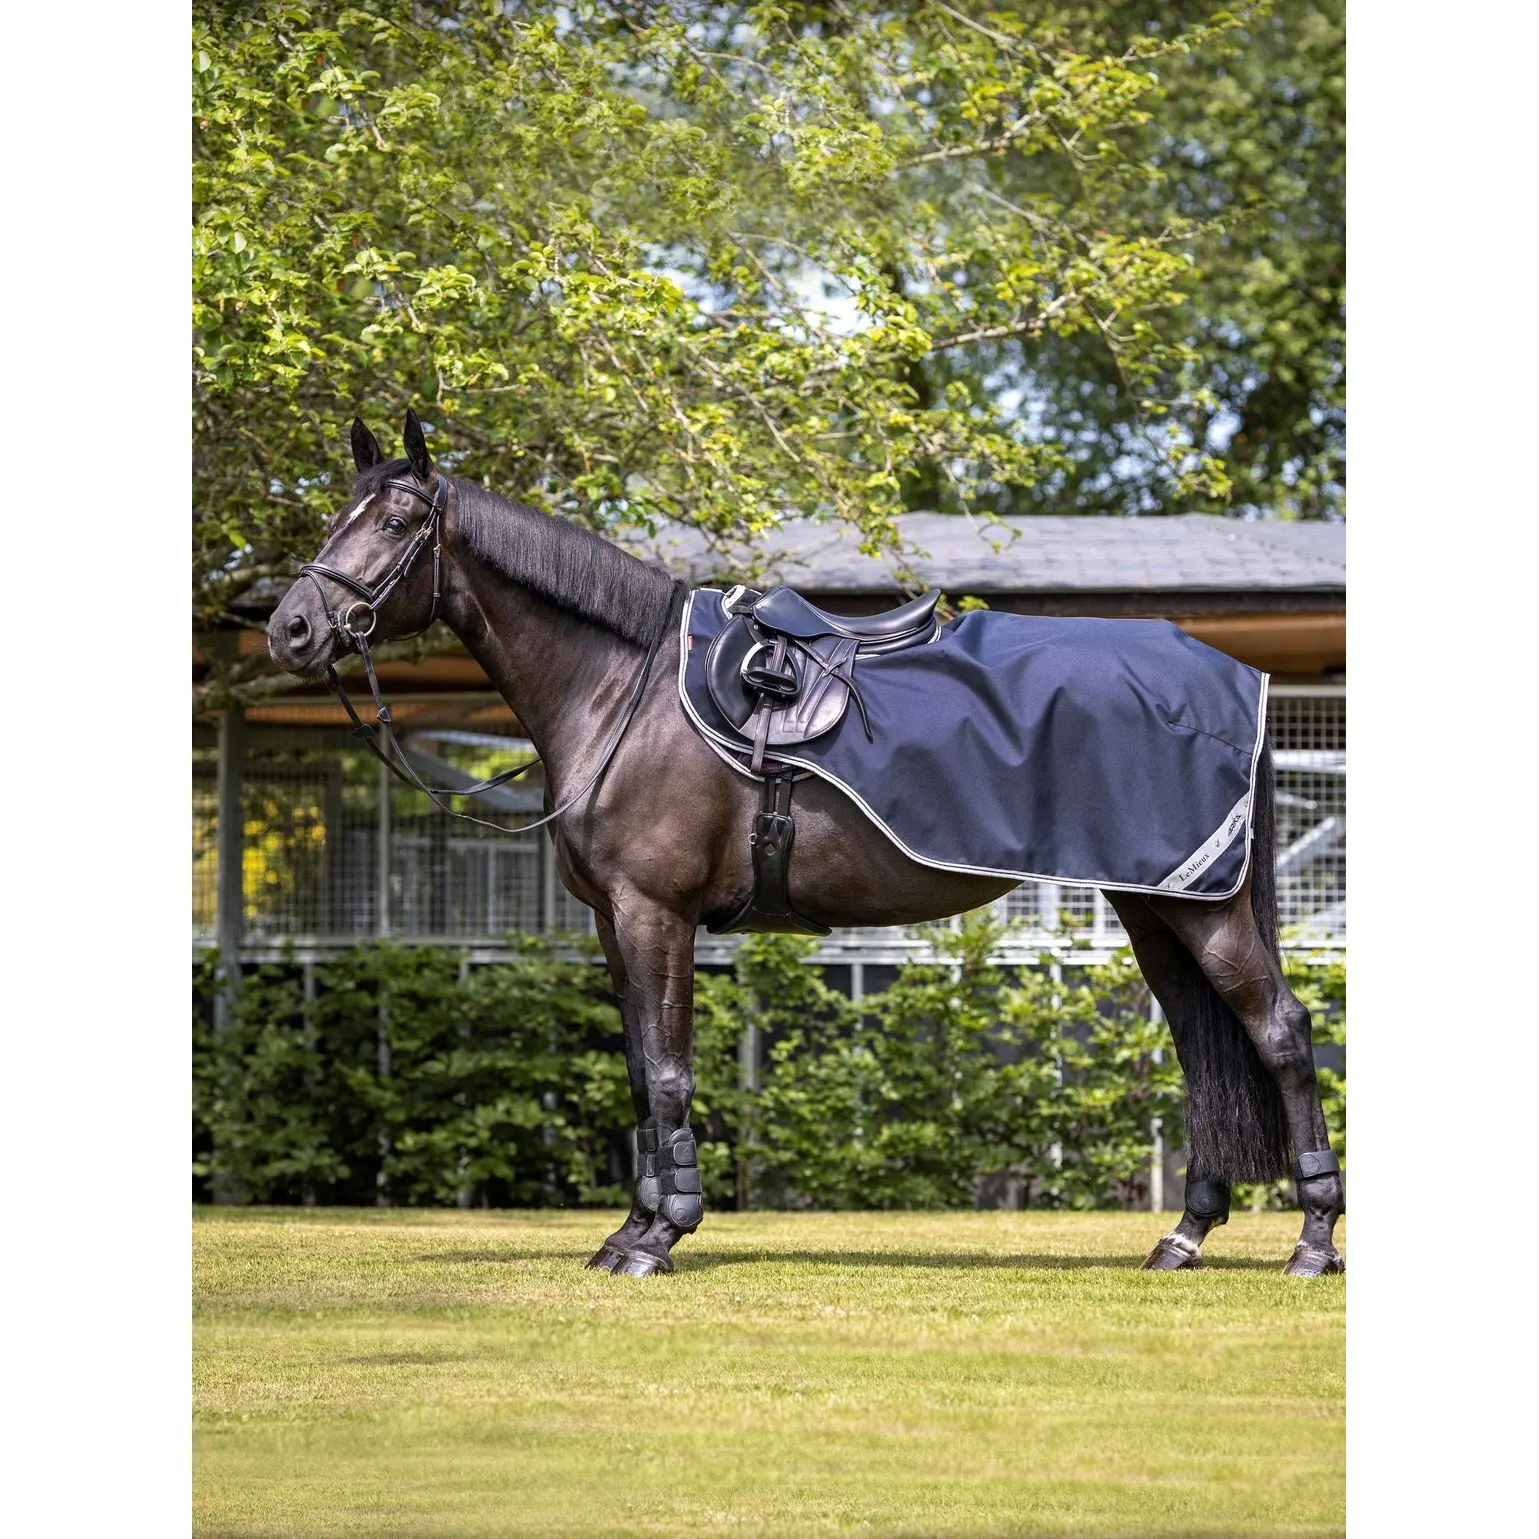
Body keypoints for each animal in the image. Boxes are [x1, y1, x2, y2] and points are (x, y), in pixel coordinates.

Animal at [266, 412, 1344, 1279]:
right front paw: (629, 1230)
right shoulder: (616, 921)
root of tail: (1227, 673)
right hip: (1156, 908)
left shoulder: (655, 913)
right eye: (334, 517)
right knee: (1202, 1047)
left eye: (395, 524)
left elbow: (669, 1068)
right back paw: (1184, 1238)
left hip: (1201, 911)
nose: (291, 628)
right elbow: (640, 1069)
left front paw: (660, 1238)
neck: (626, 690)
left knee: (1280, 1034)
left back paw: (1311, 1244)